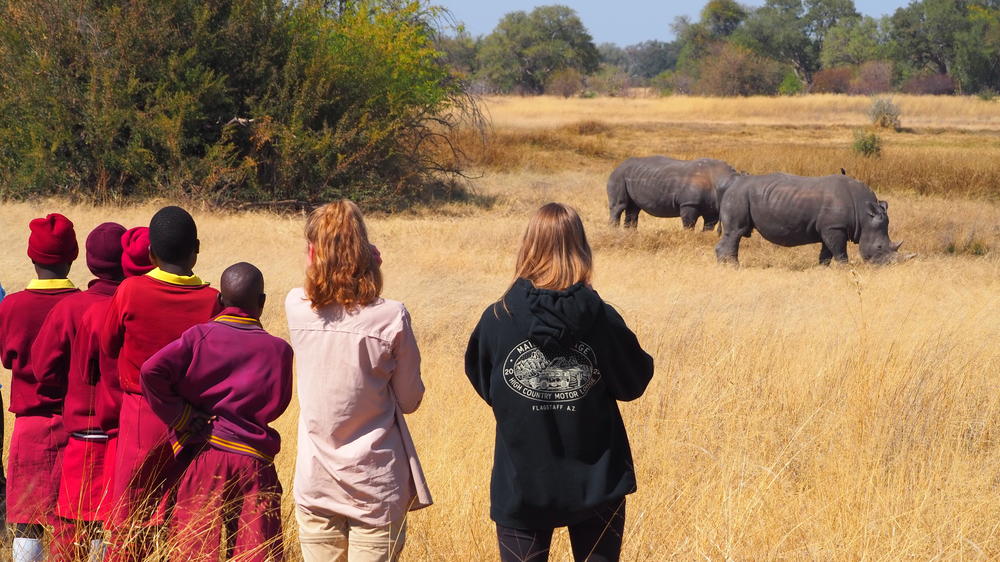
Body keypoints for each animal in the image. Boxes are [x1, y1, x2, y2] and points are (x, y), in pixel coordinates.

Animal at [608, 156, 737, 230]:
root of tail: (618, 165)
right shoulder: (689, 203)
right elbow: (689, 225)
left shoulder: (712, 208)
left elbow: (708, 227)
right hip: (619, 176)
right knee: (619, 206)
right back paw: (614, 233)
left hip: (634, 175)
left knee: (633, 209)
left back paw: (629, 235)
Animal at [715, 173, 908, 265]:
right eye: (879, 247)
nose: (888, 267)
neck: (863, 213)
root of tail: (730, 184)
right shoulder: (835, 227)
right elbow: (840, 253)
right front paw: (845, 269)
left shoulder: (829, 228)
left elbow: (826, 254)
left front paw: (823, 270)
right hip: (738, 195)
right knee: (736, 232)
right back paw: (734, 267)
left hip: (739, 195)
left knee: (733, 233)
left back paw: (723, 266)